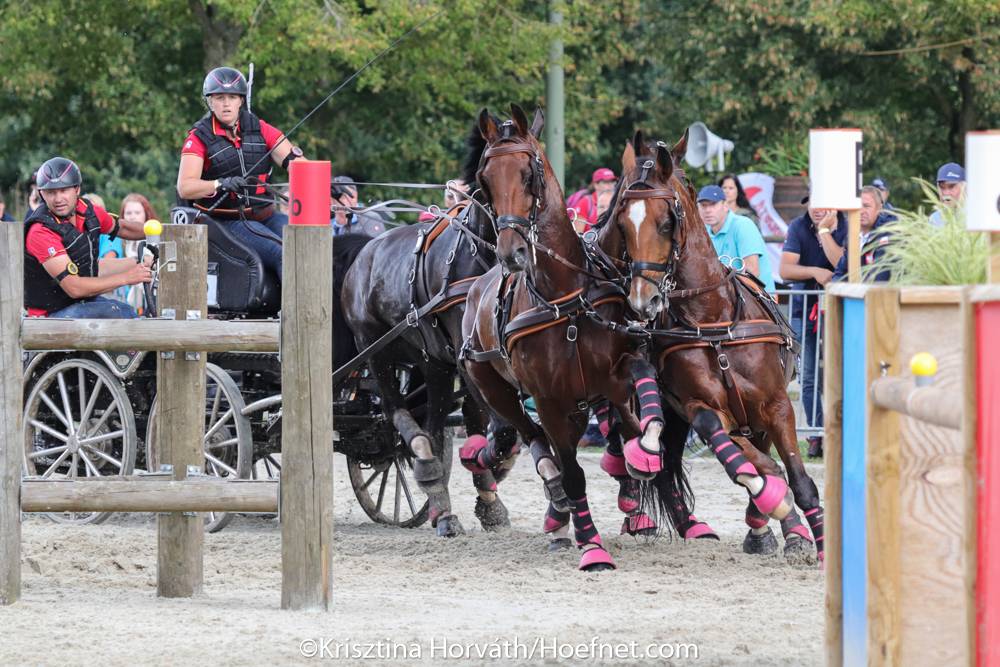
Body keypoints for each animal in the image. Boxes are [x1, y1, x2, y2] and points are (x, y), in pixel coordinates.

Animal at [341, 118, 520, 537]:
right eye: (491, 174)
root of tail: (362, 254)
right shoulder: (468, 357)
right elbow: (491, 421)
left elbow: (494, 422)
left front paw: (491, 490)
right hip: (377, 352)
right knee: (398, 413)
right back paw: (429, 476)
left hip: (429, 361)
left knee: (432, 424)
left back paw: (440, 500)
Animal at [460, 105, 679, 571]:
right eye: (485, 178)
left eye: (530, 174)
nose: (512, 253)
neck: (565, 295)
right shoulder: (549, 399)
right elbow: (572, 470)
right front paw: (592, 545)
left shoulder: (618, 370)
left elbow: (641, 403)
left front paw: (644, 452)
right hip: (495, 386)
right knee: (530, 440)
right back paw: (551, 504)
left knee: (615, 429)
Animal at [601, 131, 824, 560]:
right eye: (621, 221)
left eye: (666, 222)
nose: (642, 300)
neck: (713, 320)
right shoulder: (702, 408)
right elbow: (757, 464)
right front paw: (771, 504)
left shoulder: (777, 405)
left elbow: (799, 478)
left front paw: (805, 540)